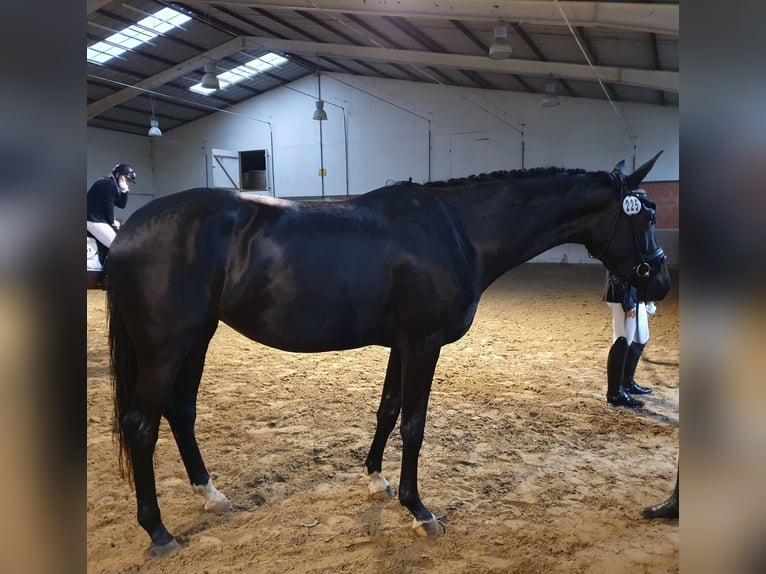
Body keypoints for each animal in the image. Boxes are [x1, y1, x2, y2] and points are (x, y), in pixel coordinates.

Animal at [105, 153, 668, 560]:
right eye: (644, 216)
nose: (659, 281)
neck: (459, 230)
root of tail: (131, 230)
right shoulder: (423, 344)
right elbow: (415, 424)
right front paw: (418, 509)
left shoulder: (403, 343)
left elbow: (388, 410)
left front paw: (376, 478)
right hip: (164, 347)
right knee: (141, 425)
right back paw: (158, 531)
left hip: (196, 339)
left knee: (180, 412)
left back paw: (210, 494)